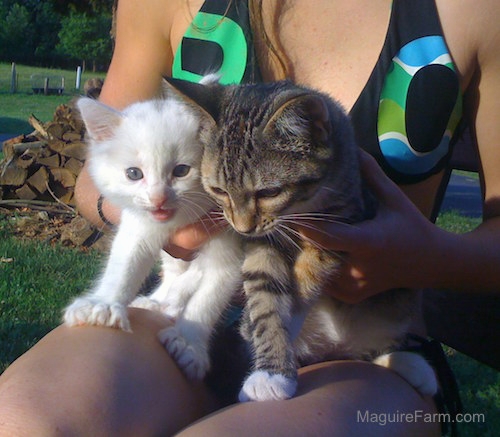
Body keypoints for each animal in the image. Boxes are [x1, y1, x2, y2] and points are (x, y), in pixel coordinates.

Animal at [63, 95, 243, 378]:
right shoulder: (139, 225)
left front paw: (189, 343)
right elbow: (124, 265)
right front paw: (103, 304)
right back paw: (160, 301)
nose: (158, 199)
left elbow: (208, 299)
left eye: (181, 170)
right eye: (134, 174)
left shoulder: (231, 245)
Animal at [167, 77, 434, 398]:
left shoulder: (340, 225)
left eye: (269, 192)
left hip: (399, 301)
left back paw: (412, 365)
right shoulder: (264, 241)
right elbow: (264, 290)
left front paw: (279, 348)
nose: (242, 228)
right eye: (219, 191)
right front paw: (271, 369)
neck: (299, 209)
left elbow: (306, 280)